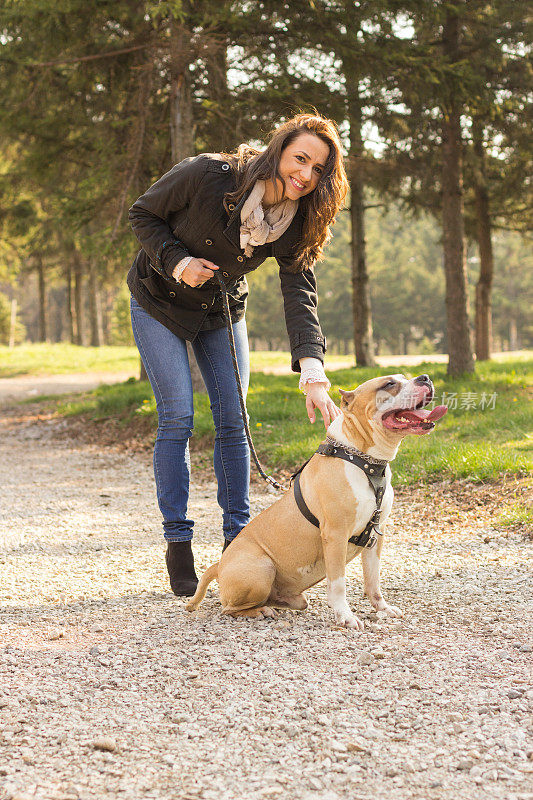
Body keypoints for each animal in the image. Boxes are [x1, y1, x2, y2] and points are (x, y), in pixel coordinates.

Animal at [187, 372, 444, 628]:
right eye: (389, 384)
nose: (425, 377)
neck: (365, 461)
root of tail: (219, 564)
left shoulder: (376, 535)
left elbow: (373, 580)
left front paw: (382, 608)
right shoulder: (336, 535)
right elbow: (338, 584)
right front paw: (345, 616)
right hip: (262, 567)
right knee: (229, 608)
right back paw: (259, 611)